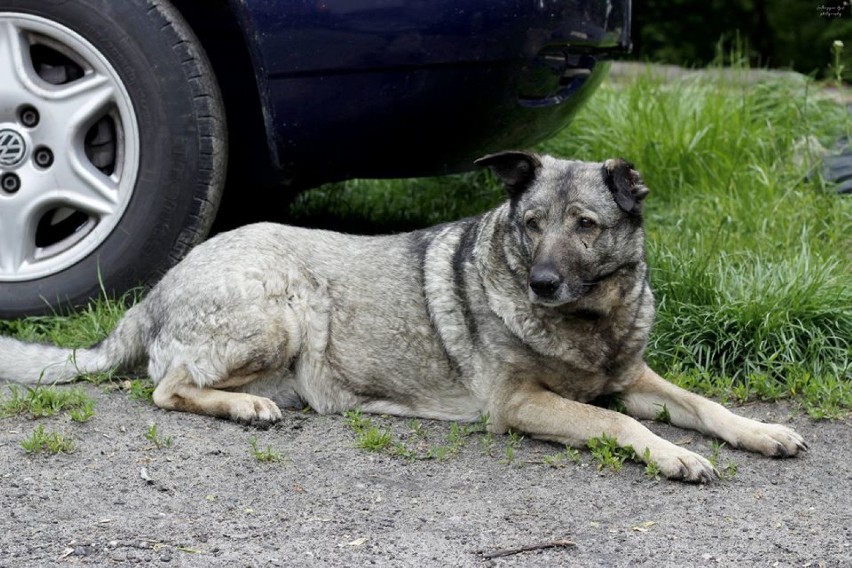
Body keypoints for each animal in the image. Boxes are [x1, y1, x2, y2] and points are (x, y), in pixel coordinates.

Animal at [0, 153, 804, 482]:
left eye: (585, 225)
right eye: (531, 224)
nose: (543, 283)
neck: (587, 321)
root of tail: (156, 291)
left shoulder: (635, 378)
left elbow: (704, 405)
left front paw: (760, 432)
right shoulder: (521, 405)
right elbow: (620, 424)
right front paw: (673, 456)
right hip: (282, 311)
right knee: (166, 389)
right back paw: (247, 408)